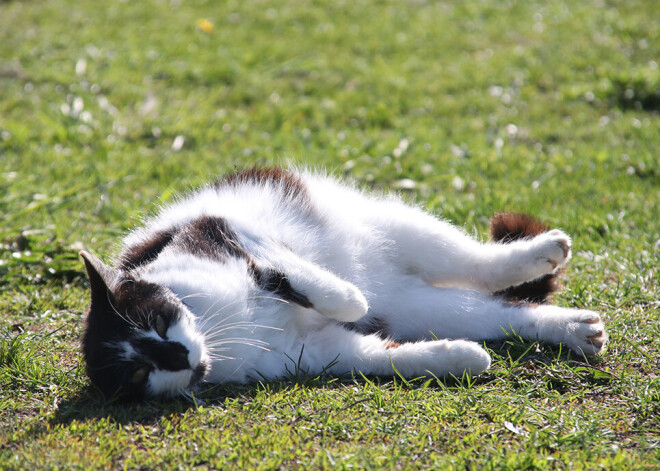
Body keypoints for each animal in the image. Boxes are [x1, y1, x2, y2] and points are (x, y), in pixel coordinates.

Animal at [80, 168, 604, 400]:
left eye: (157, 320)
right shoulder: (311, 352)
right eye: (138, 374)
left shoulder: (220, 229)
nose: (180, 357)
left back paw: (541, 251)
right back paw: (572, 329)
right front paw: (459, 359)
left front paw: (349, 300)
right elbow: (382, 357)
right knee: (499, 315)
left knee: (479, 264)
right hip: (419, 307)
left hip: (399, 228)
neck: (216, 328)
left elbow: (308, 282)